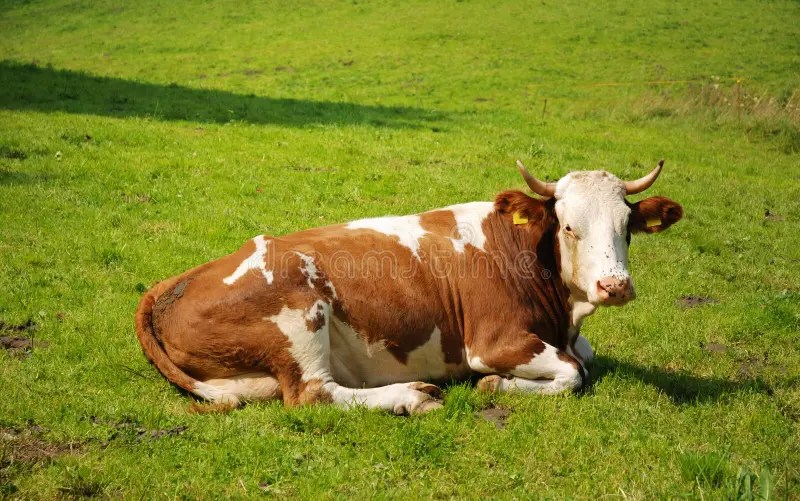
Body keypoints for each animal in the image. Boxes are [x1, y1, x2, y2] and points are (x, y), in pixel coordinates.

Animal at [135, 160, 683, 414]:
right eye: (568, 227)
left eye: (627, 227)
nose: (615, 286)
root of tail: (171, 283)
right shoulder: (493, 342)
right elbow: (573, 372)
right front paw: (495, 385)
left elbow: (584, 358)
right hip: (300, 310)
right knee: (314, 393)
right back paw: (412, 396)